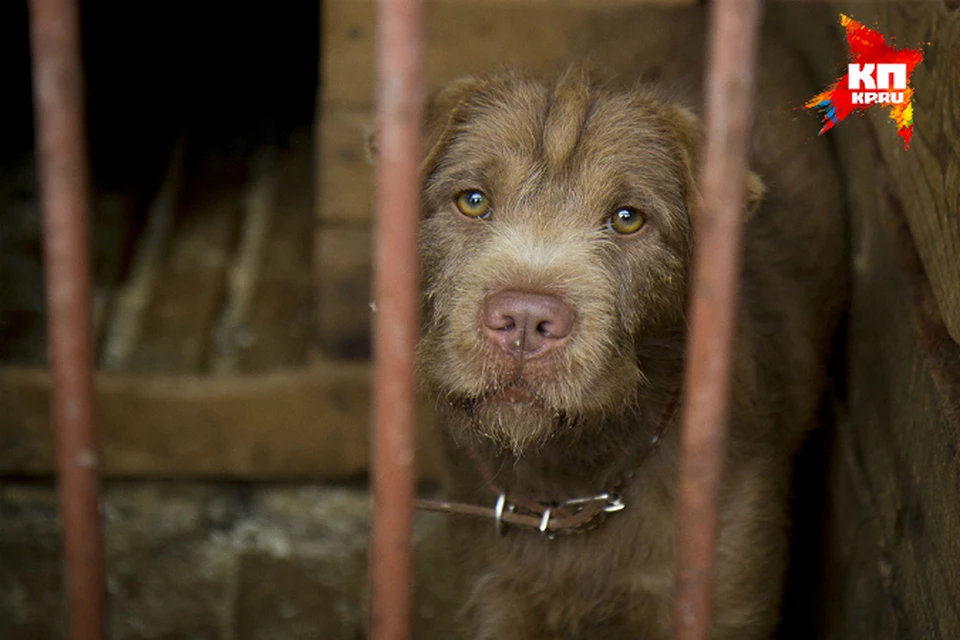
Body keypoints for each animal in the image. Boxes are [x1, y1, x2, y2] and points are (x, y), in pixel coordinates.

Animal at [418, 15, 848, 640]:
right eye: (472, 201)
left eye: (627, 218)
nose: (524, 318)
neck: (570, 481)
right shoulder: (494, 593)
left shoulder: (725, 598)